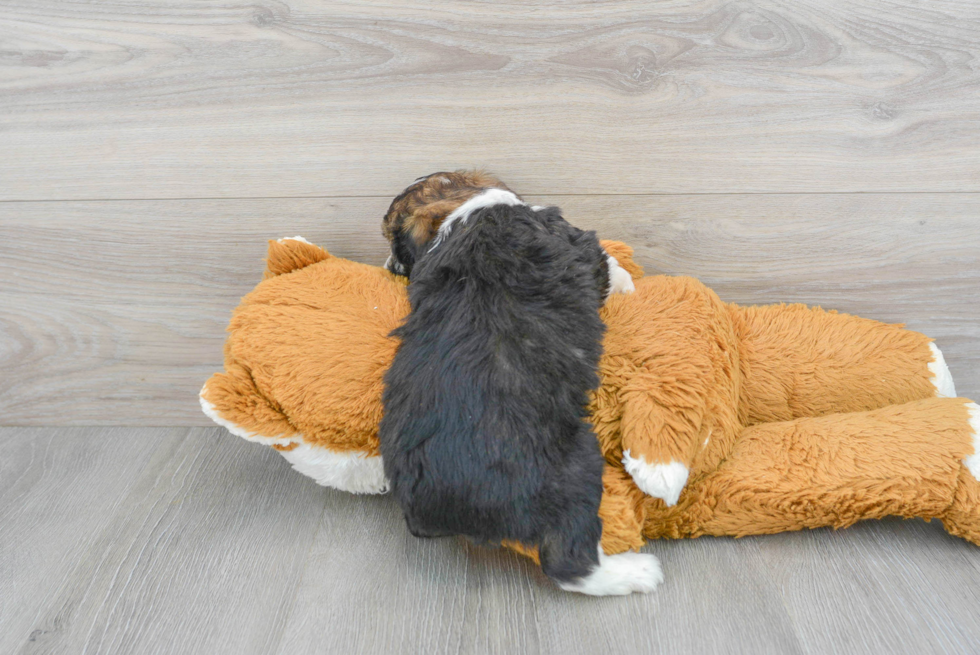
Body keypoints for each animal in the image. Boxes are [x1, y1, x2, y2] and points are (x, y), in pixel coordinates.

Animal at [378, 172, 664, 596]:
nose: (390, 267)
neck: (466, 211)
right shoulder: (583, 246)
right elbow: (609, 266)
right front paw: (628, 285)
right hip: (575, 468)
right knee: (568, 563)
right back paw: (635, 572)